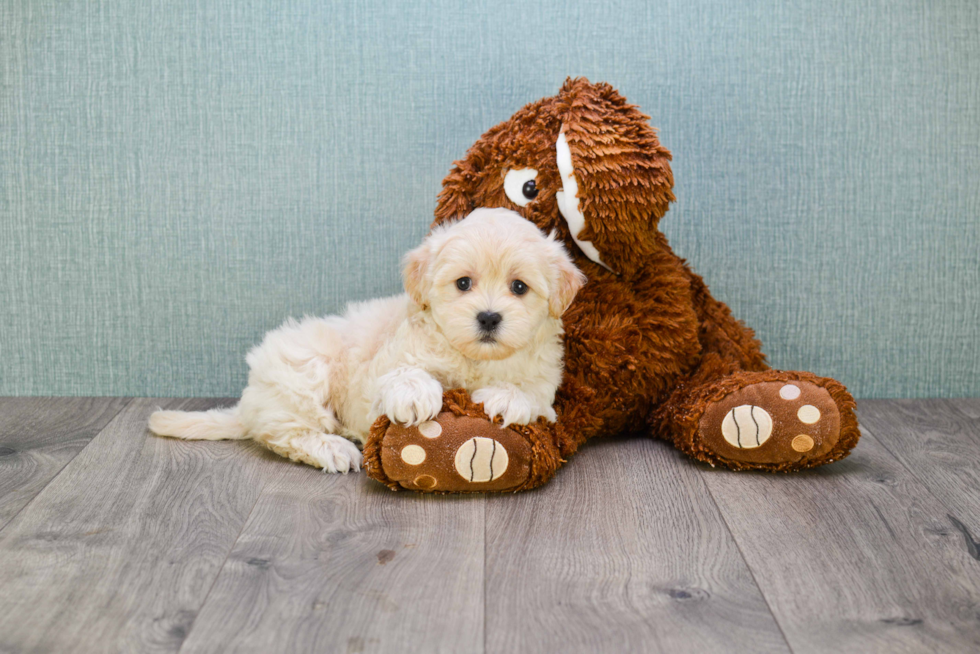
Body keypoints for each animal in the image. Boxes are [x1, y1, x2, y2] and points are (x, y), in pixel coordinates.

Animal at [145, 210, 580, 476]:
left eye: (519, 287)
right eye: (463, 283)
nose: (489, 317)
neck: (473, 360)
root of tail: (250, 401)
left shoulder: (546, 380)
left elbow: (532, 393)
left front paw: (507, 396)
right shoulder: (378, 377)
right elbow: (402, 375)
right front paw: (414, 393)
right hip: (304, 367)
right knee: (281, 431)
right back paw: (331, 448)